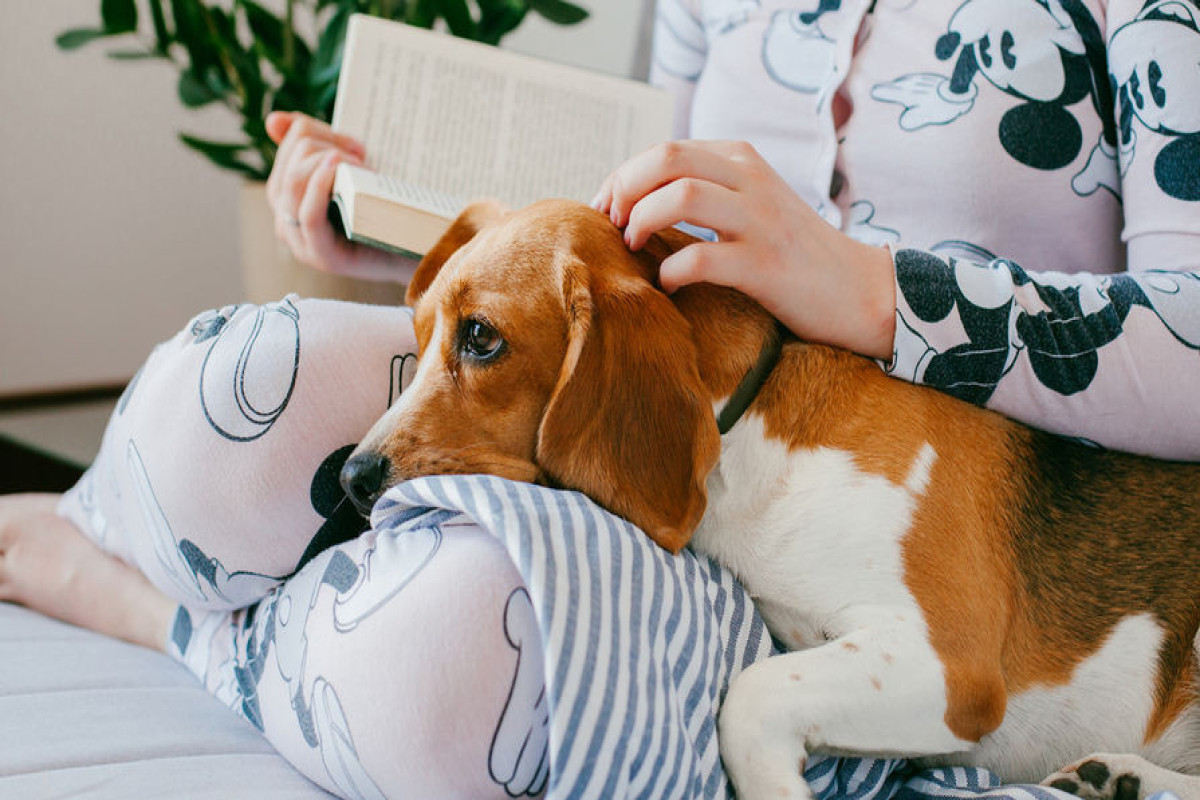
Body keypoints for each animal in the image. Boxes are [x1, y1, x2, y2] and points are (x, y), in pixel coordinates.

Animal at [338, 200, 1200, 800]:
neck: (749, 439)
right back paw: (1121, 777)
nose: (350, 479)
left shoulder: (950, 664)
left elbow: (749, 696)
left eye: (481, 337)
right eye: (417, 339)